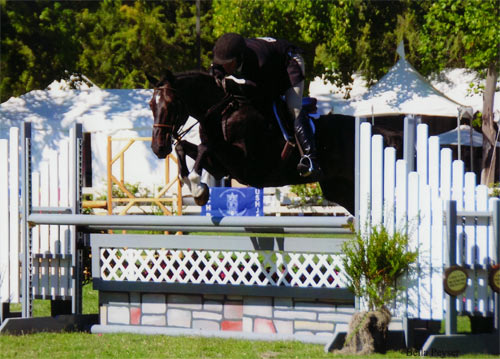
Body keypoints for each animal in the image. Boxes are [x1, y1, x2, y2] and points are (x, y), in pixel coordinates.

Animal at [148, 71, 356, 215]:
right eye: (151, 105)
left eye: (171, 105)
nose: (158, 148)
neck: (225, 113)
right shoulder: (221, 168)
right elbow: (182, 146)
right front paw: (193, 184)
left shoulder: (248, 165)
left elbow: (204, 147)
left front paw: (197, 188)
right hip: (338, 189)